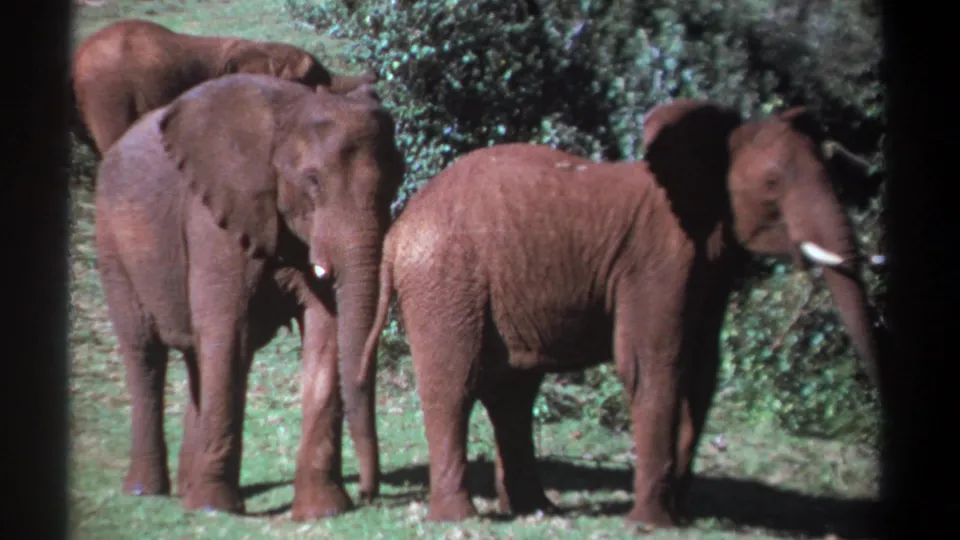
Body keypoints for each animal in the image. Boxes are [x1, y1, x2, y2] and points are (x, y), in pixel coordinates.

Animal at [94, 73, 404, 520]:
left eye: (397, 180)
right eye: (312, 181)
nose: (368, 493)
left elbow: (325, 336)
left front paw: (323, 511)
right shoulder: (213, 217)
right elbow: (228, 333)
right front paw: (215, 509)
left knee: (196, 358)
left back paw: (187, 490)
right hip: (112, 244)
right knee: (145, 353)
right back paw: (148, 491)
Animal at [355, 100, 884, 528]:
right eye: (773, 182)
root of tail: (398, 233)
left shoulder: (706, 267)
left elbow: (701, 372)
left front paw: (678, 515)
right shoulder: (657, 260)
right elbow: (653, 366)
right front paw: (653, 524)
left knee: (513, 393)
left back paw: (534, 509)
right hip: (445, 281)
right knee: (455, 386)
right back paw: (459, 518)